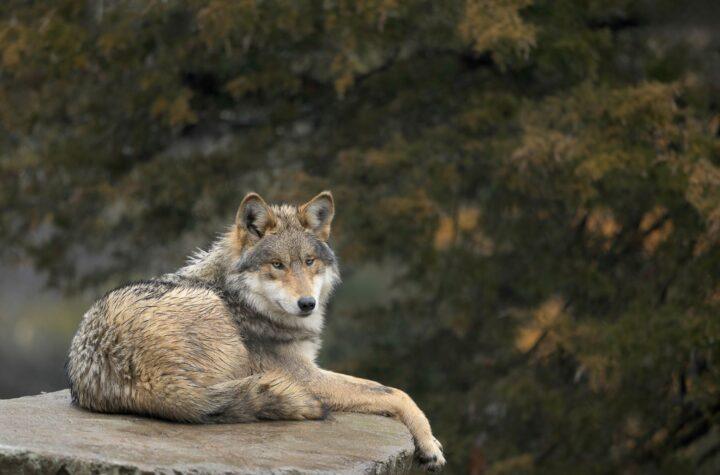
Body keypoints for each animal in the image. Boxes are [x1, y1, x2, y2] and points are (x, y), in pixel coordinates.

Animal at [66, 191, 445, 471]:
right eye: (277, 265)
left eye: (309, 262)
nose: (307, 303)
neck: (240, 297)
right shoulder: (304, 375)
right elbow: (395, 392)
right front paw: (430, 445)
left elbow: (388, 390)